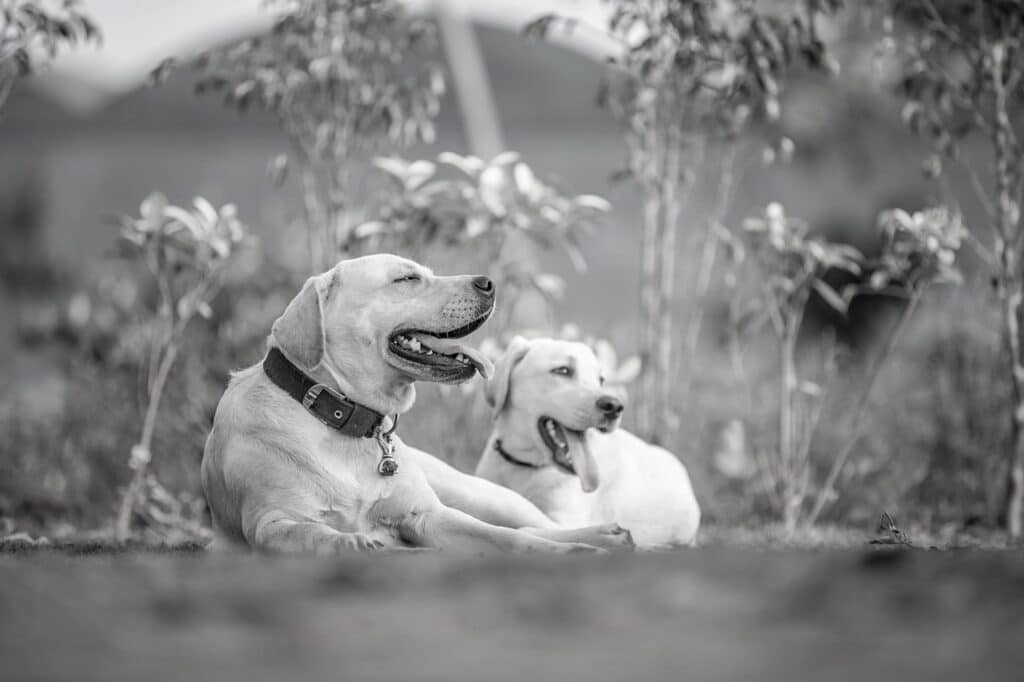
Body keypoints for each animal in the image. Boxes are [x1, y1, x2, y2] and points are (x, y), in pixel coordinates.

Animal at [200, 254, 630, 552]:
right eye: (407, 278)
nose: (488, 282)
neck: (345, 422)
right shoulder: (269, 523)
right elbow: (313, 533)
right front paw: (349, 540)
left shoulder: (427, 517)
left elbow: (511, 538)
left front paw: (571, 550)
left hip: (482, 495)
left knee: (531, 525)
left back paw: (604, 535)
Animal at [475, 333, 700, 548]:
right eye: (563, 370)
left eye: (600, 380)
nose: (614, 406)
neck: (524, 465)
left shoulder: (562, 520)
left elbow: (527, 528)